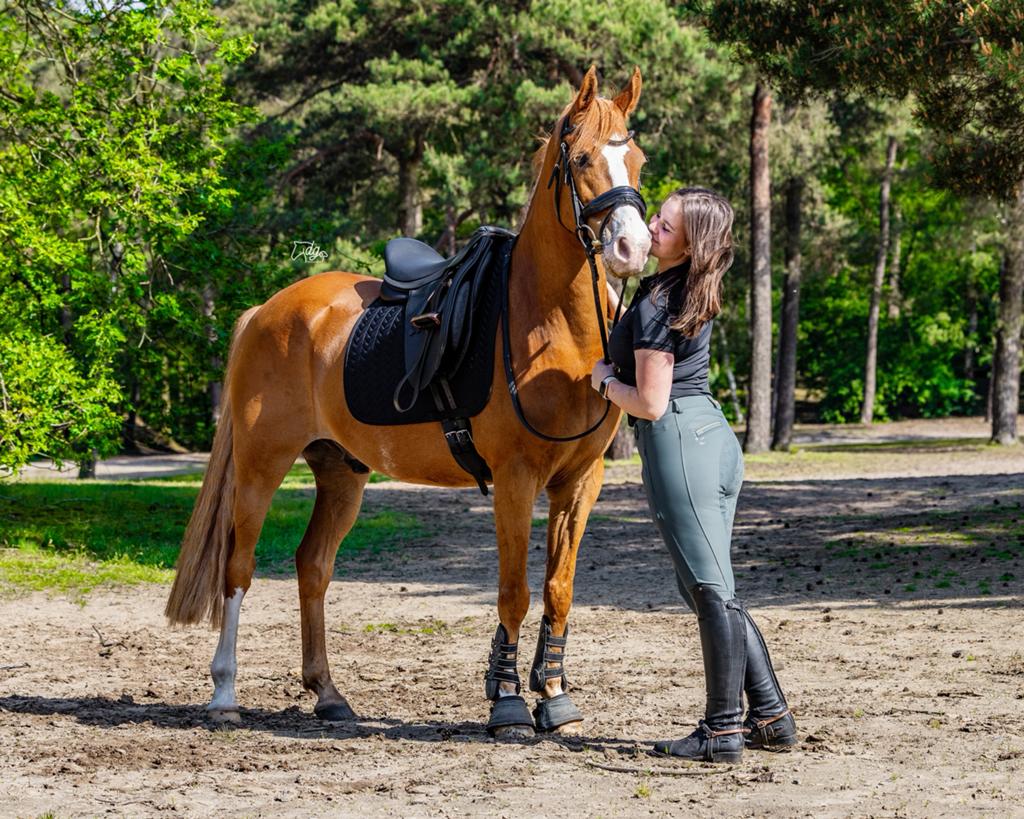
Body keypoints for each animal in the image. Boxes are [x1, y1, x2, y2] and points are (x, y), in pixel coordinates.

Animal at [165, 66, 650, 739]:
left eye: (637, 158)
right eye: (580, 159)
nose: (634, 247)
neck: (549, 323)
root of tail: (266, 310)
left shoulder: (580, 480)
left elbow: (558, 590)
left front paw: (554, 698)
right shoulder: (514, 479)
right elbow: (515, 592)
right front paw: (506, 706)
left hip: (341, 472)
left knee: (313, 566)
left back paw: (328, 694)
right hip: (261, 467)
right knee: (239, 568)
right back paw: (225, 694)